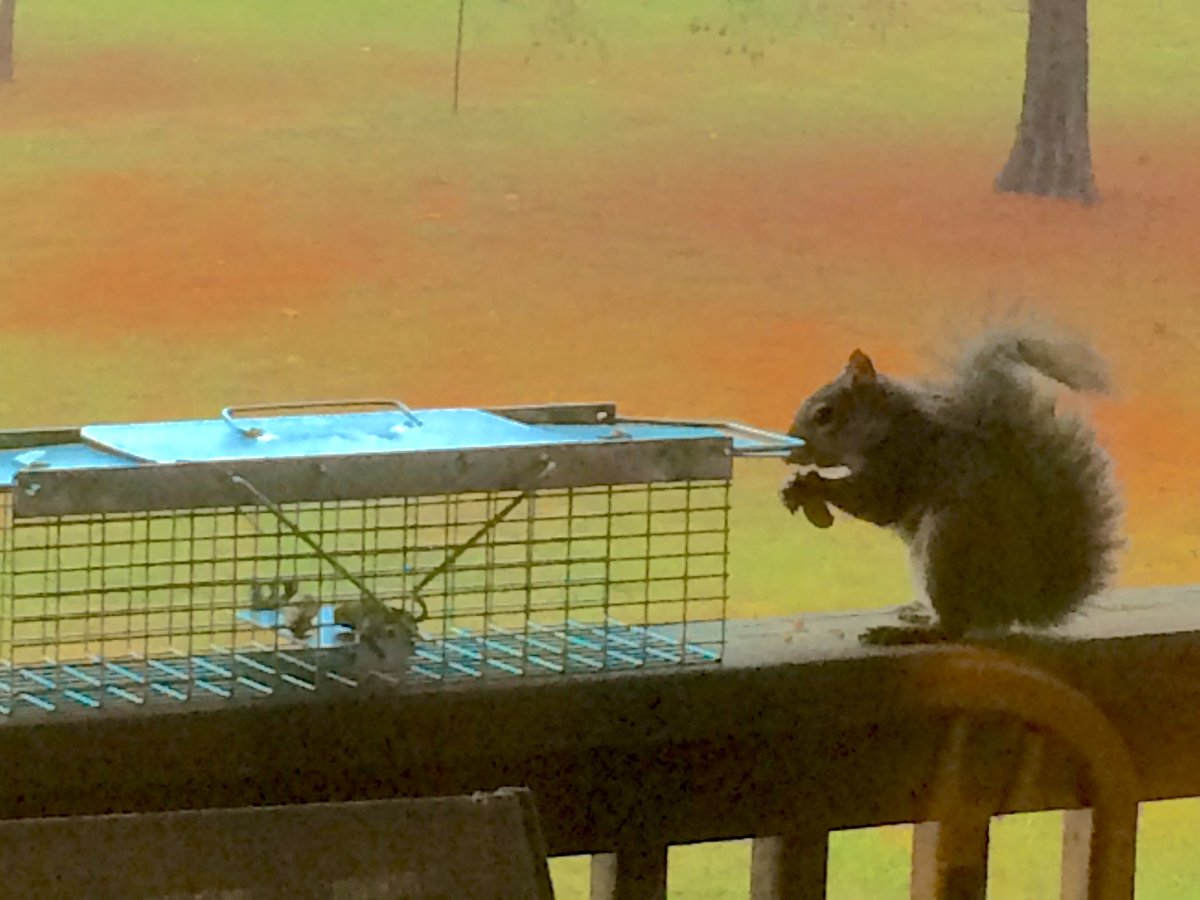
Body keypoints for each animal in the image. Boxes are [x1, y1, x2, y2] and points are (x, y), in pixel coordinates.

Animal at [780, 324, 1123, 644]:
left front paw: (810, 484)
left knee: (954, 628)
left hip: (948, 544)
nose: (789, 454)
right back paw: (917, 615)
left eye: (824, 415)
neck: (887, 423)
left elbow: (875, 501)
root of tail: (1014, 605)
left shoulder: (902, 459)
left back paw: (905, 632)